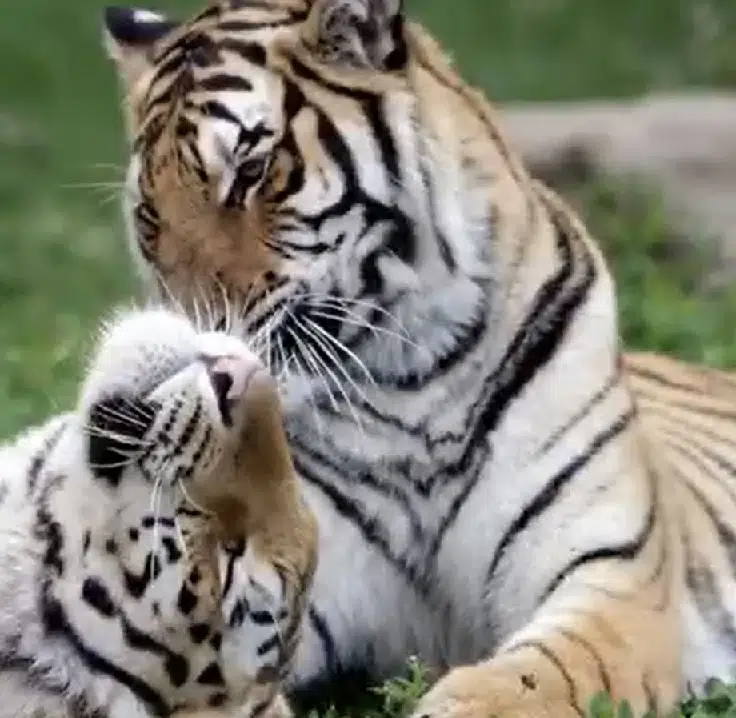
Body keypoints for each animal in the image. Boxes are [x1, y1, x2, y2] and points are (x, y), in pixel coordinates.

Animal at [97, 0, 736, 716]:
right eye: (150, 216)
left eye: (251, 172)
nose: (188, 347)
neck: (410, 382)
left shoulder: (611, 573)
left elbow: (527, 680)